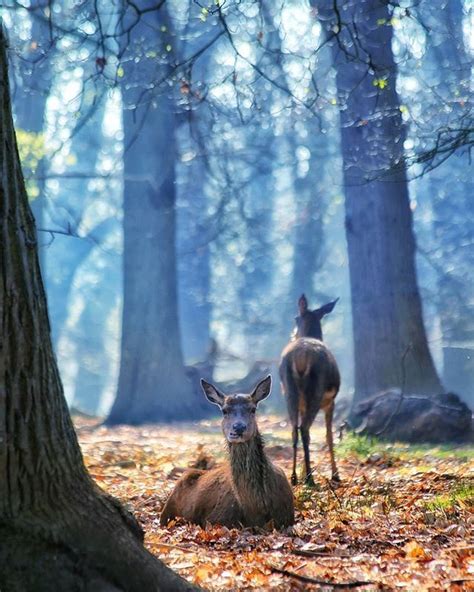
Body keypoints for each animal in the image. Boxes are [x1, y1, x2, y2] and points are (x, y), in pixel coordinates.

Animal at [278, 296, 340, 486]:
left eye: (295, 318)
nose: (292, 334)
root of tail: (300, 357)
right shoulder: (331, 401)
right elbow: (329, 436)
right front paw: (335, 475)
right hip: (316, 392)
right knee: (304, 428)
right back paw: (309, 478)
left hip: (289, 391)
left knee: (294, 429)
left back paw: (294, 476)